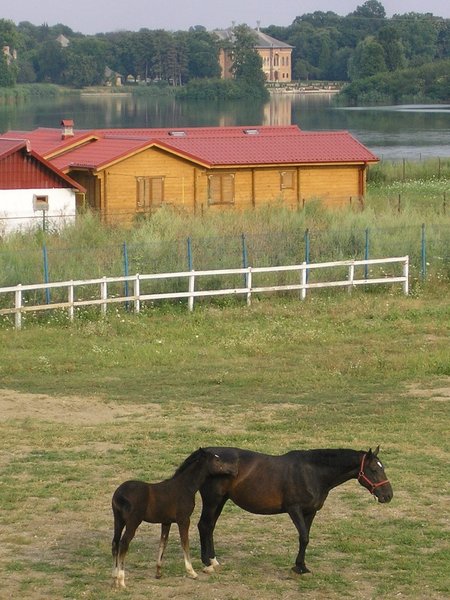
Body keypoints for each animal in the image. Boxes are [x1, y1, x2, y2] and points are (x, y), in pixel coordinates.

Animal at [111, 448, 239, 588]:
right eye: (217, 459)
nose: (234, 470)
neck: (185, 487)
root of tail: (119, 494)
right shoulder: (184, 520)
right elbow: (185, 543)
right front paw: (192, 572)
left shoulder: (166, 522)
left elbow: (163, 543)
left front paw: (158, 573)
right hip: (133, 522)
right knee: (124, 543)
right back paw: (121, 580)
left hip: (118, 521)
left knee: (115, 543)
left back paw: (114, 578)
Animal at [199, 448, 392, 576]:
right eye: (374, 469)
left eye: (382, 468)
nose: (388, 495)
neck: (313, 473)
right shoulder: (294, 509)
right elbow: (304, 537)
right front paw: (298, 567)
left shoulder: (310, 512)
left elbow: (305, 538)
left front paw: (301, 566)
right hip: (212, 500)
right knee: (204, 526)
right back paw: (206, 562)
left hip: (221, 501)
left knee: (210, 527)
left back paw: (213, 560)